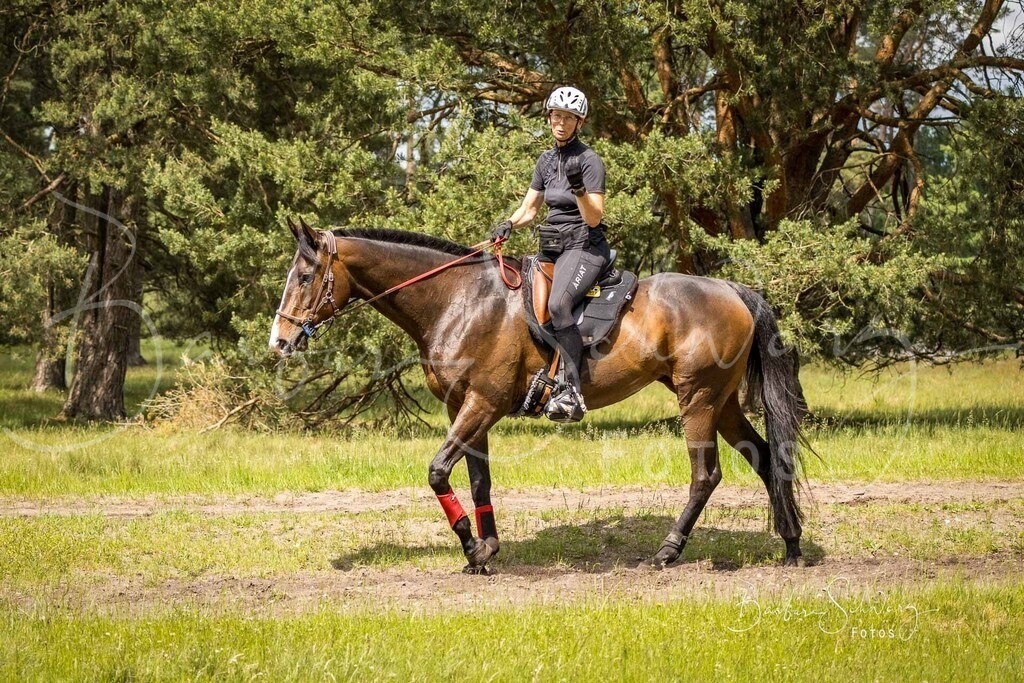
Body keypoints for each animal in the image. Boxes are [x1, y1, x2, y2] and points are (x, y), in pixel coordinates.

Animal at [270, 218, 809, 573]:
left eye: (304, 277)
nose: (279, 341)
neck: (458, 300)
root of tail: (733, 291)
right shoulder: (466, 407)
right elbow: (479, 482)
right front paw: (486, 551)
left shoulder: (481, 404)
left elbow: (438, 471)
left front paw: (472, 548)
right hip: (722, 402)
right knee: (766, 458)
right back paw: (791, 544)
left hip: (697, 399)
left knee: (706, 474)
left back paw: (668, 550)